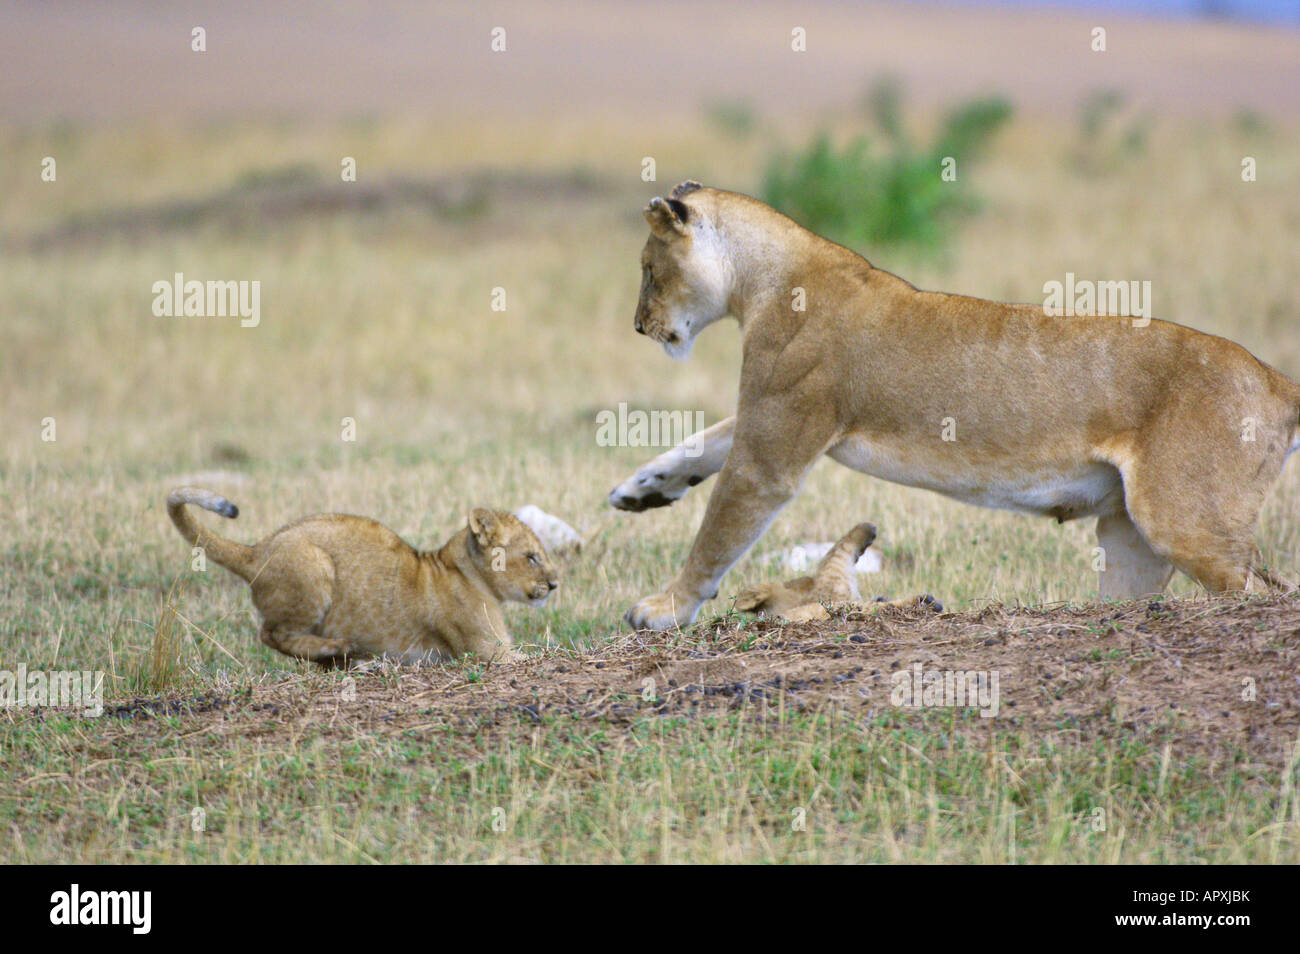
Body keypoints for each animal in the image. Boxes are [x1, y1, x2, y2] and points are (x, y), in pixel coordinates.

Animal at [167, 488, 558, 665]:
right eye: (531, 557)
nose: (555, 584)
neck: (463, 570)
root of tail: (255, 550)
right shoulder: (488, 650)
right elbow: (536, 655)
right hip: (314, 568)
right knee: (271, 633)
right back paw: (339, 648)